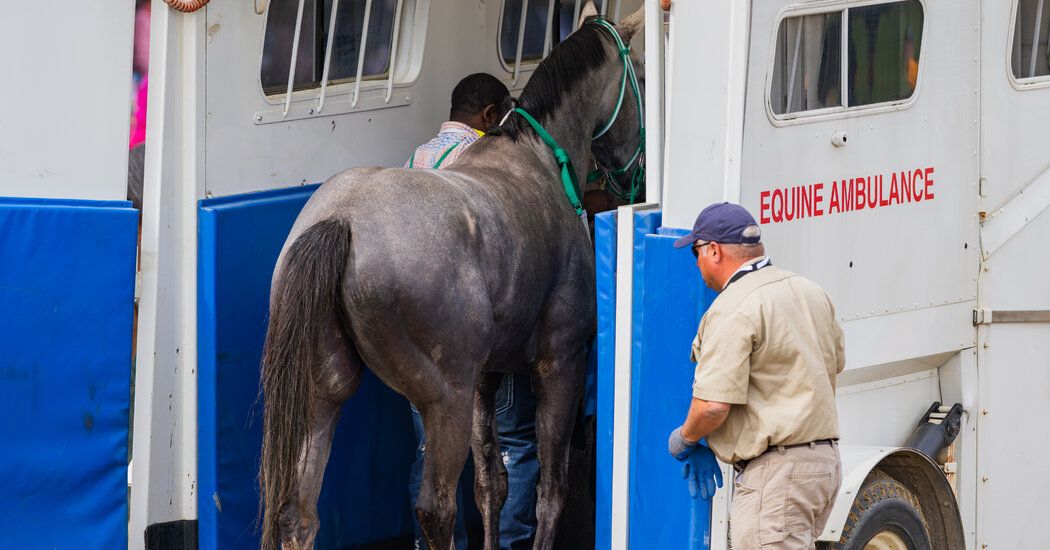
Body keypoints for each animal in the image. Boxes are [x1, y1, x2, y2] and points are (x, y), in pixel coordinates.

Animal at [257, 5, 642, 550]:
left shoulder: (486, 374)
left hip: (320, 391)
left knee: (299, 513)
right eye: (644, 77)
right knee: (435, 510)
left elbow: (490, 485)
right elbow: (550, 489)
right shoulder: (561, 362)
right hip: (444, 398)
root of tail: (342, 221)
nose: (635, 180)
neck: (538, 160)